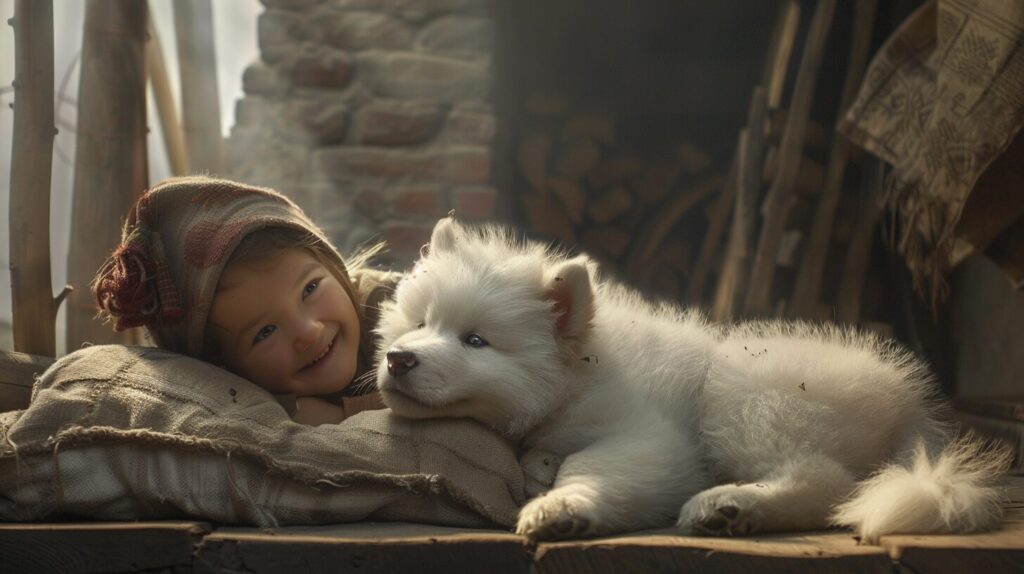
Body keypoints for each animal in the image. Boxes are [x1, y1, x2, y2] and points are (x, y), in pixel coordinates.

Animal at [376, 215, 1007, 540]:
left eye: (475, 341)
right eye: (420, 322)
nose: (398, 359)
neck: (572, 381)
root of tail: (910, 405)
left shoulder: (652, 436)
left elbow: (594, 466)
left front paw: (561, 509)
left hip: (745, 398)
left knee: (825, 481)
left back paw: (730, 505)